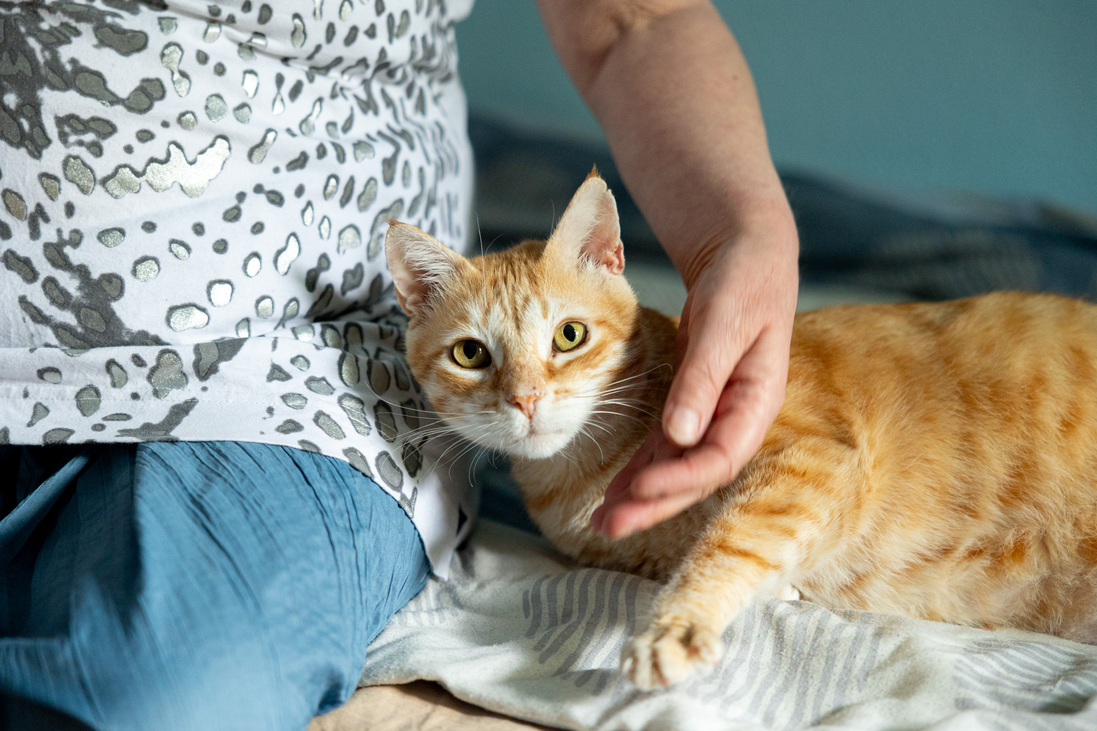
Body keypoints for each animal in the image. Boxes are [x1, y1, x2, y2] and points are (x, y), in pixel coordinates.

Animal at [383, 171, 1097, 689]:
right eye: (471, 354)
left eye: (569, 336)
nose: (526, 398)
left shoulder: (809, 458)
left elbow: (729, 544)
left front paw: (675, 630)